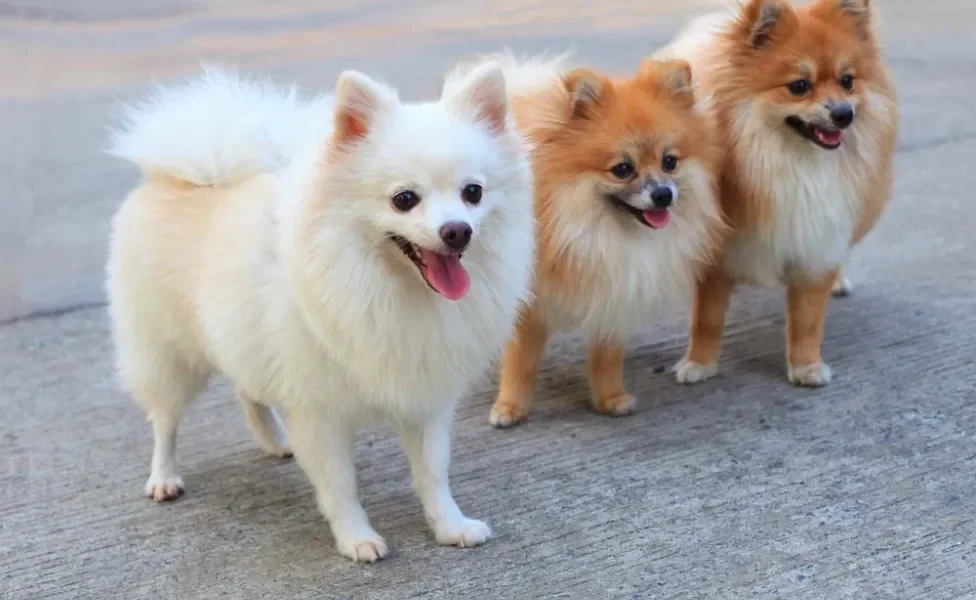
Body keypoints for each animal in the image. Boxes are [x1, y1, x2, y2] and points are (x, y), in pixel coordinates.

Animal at [105, 64, 532, 564]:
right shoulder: (319, 410)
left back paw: (275, 442)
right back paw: (164, 477)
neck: (387, 287)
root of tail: (195, 173)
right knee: (165, 420)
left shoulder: (423, 396)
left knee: (247, 392)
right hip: (167, 353)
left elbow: (433, 472)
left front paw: (450, 525)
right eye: (404, 199)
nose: (457, 231)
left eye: (473, 192)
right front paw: (356, 538)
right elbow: (340, 485)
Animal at [472, 52, 724, 426]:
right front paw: (510, 407)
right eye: (622, 169)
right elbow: (520, 361)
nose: (663, 194)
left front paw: (610, 398)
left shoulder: (615, 289)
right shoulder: (531, 302)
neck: (591, 231)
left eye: (670, 162)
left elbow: (607, 356)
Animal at [664, 0, 900, 386]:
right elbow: (707, 319)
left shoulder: (816, 242)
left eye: (847, 82)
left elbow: (807, 321)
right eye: (799, 86)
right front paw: (699, 363)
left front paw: (806, 367)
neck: (789, 163)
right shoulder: (719, 255)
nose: (843, 113)